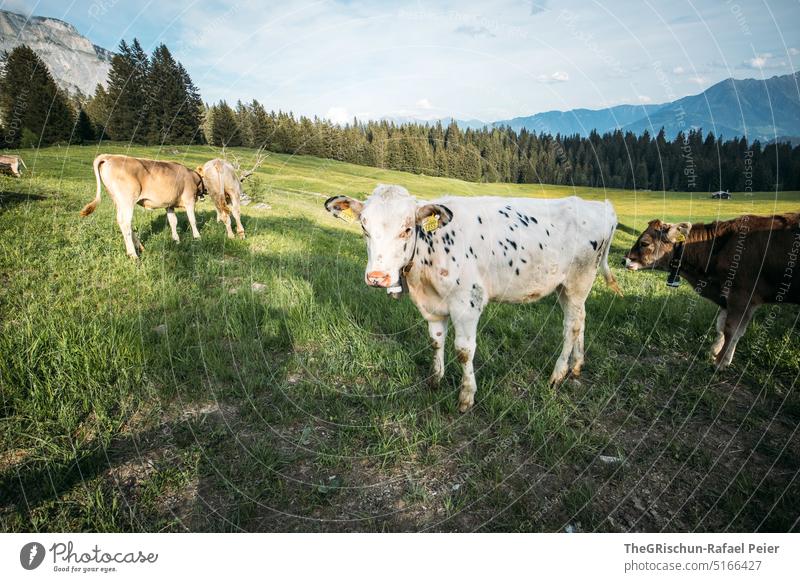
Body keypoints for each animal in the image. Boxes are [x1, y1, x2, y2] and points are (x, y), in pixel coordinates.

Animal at [324, 185, 620, 412]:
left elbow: (464, 351)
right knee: (581, 319)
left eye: (407, 229)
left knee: (571, 326)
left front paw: (466, 397)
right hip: (565, 287)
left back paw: (558, 374)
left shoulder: (467, 302)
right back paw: (576, 366)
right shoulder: (433, 306)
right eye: (364, 227)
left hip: (577, 281)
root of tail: (601, 206)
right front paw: (436, 380)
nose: (377, 276)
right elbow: (435, 341)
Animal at [624, 214, 800, 370]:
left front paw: (720, 362)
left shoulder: (741, 296)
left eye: (644, 243)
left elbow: (731, 329)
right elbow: (723, 327)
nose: (624, 259)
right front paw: (718, 353)